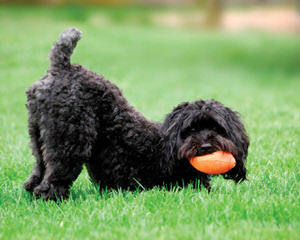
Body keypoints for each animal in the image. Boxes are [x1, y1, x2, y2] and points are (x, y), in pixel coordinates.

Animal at [23, 28, 250, 200]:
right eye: (191, 129)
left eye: (216, 128)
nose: (205, 147)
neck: (169, 145)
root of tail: (62, 68)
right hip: (70, 141)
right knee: (55, 175)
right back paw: (52, 197)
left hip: (39, 136)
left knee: (39, 168)